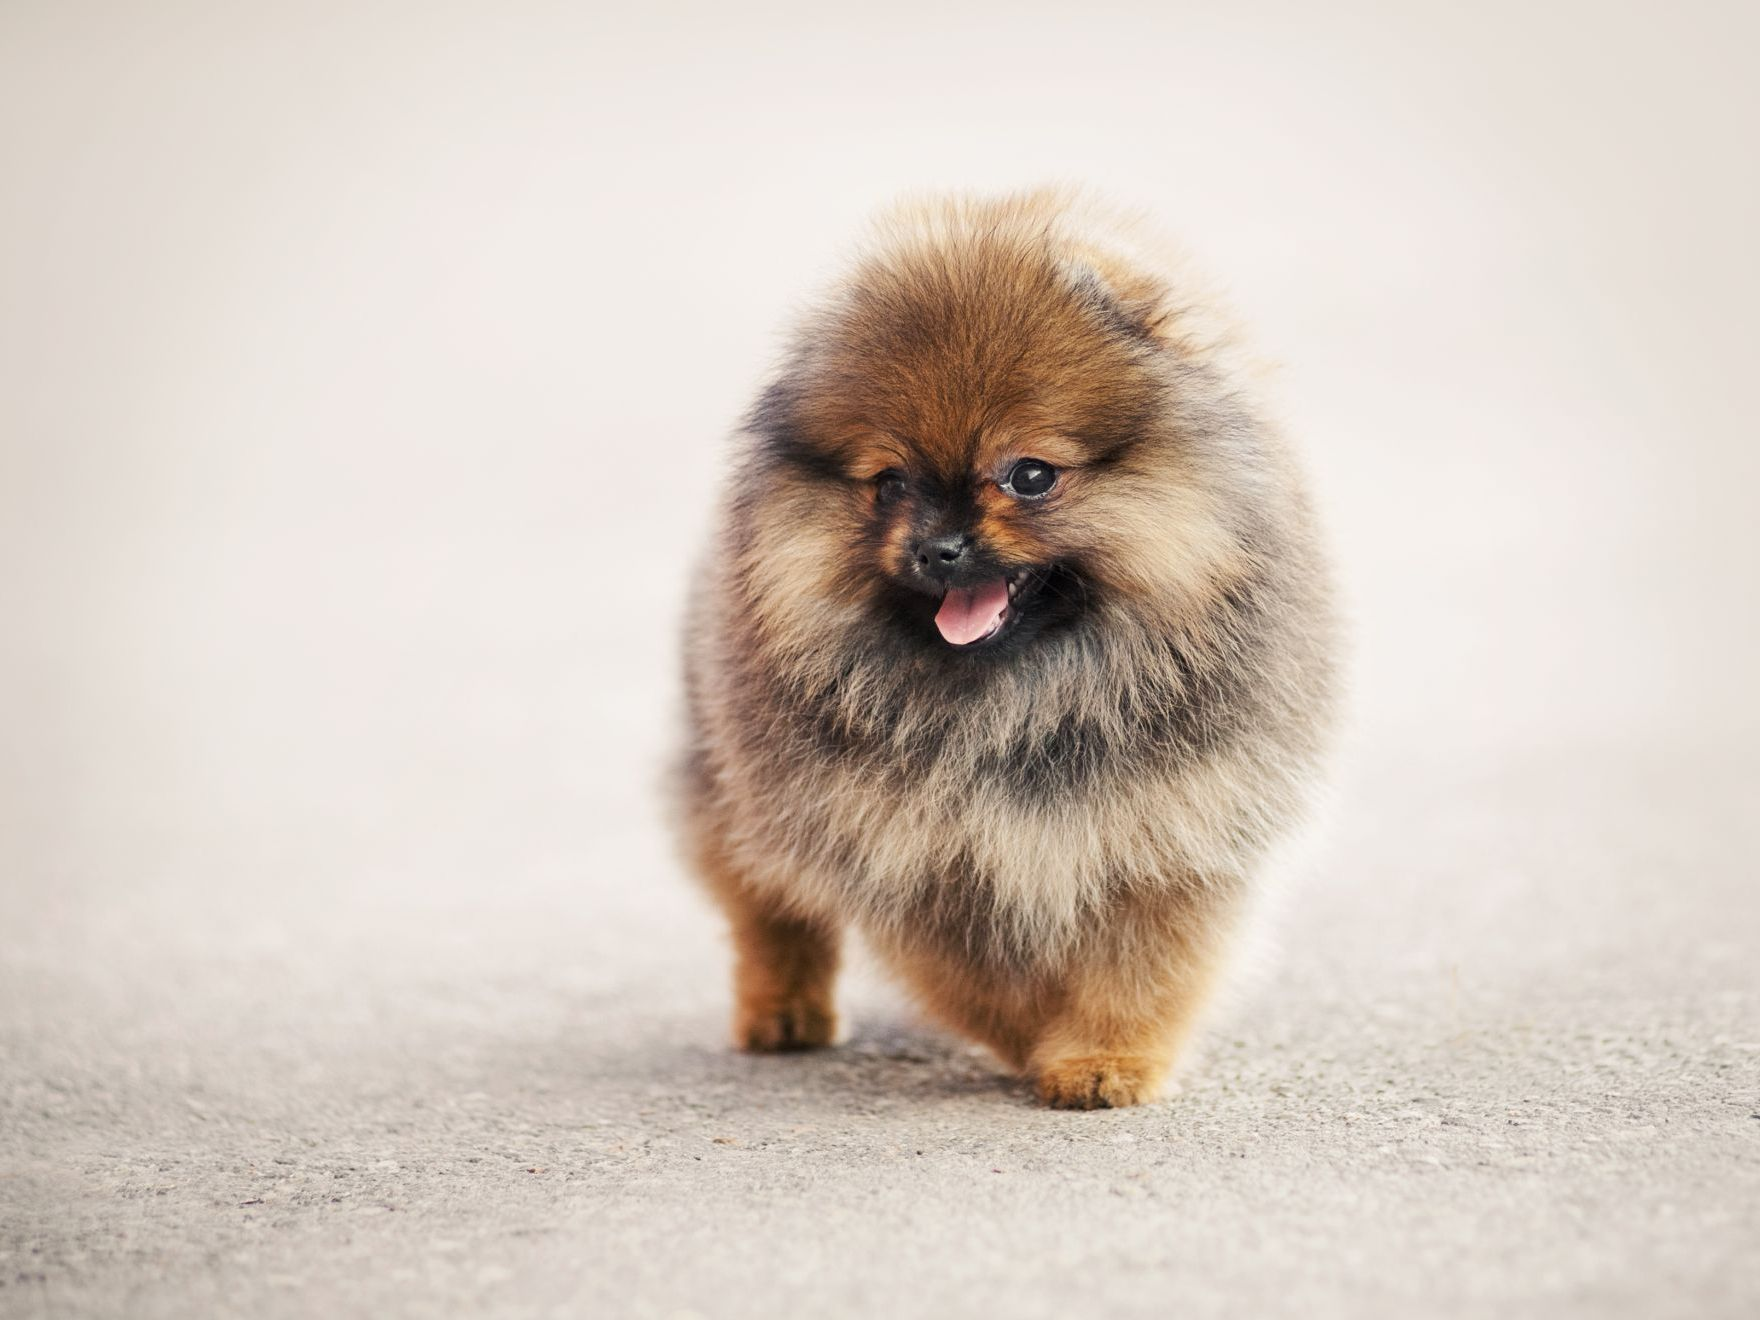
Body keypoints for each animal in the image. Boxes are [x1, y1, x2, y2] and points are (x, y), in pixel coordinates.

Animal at [672, 190, 1330, 1112]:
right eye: (889, 483)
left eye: (1029, 475)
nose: (939, 547)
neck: (1024, 701)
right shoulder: (909, 856)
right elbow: (978, 981)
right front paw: (1031, 1039)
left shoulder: (1169, 830)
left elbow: (1139, 966)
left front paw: (1103, 1059)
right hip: (727, 777)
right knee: (764, 901)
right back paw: (783, 1011)